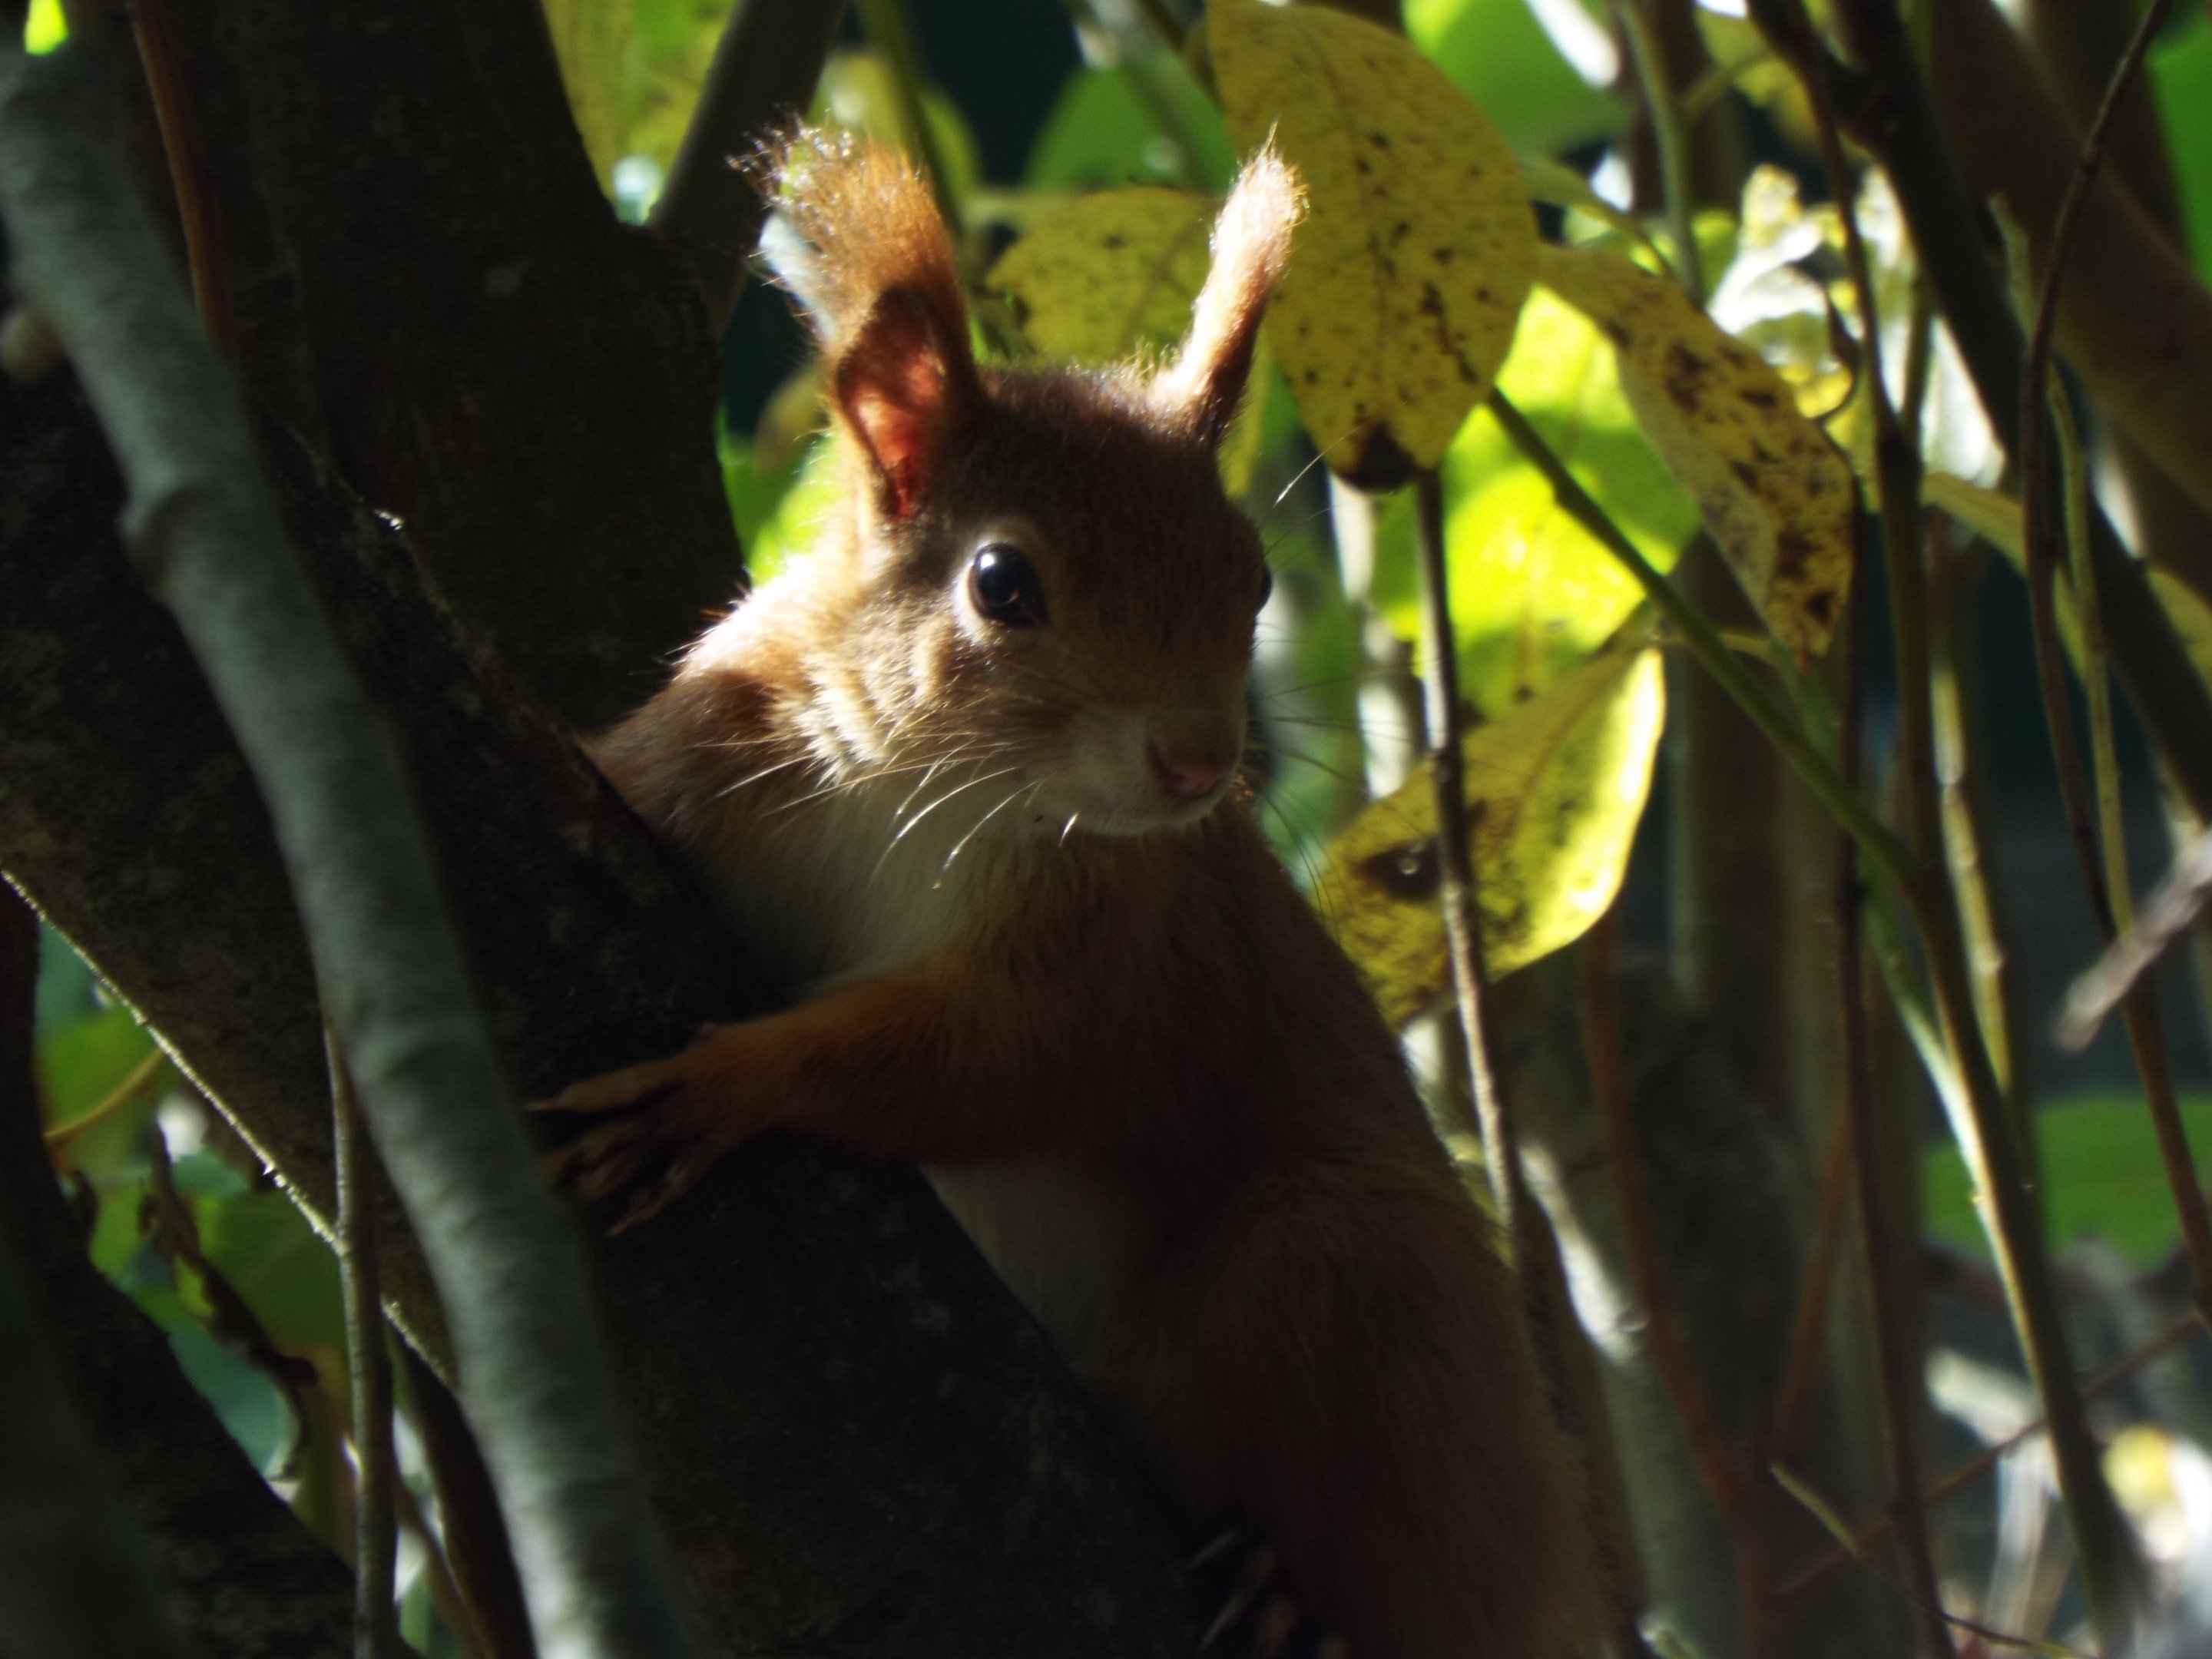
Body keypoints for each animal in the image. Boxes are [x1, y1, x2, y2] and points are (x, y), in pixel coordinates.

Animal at [543, 130, 1599, 1659]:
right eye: (1002, 582)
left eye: (1255, 577)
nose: (1199, 763)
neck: (920, 788)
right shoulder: (709, 751)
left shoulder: (1118, 939)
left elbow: (987, 1057)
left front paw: (727, 1085)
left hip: (1357, 1282)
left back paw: (1288, 1593)